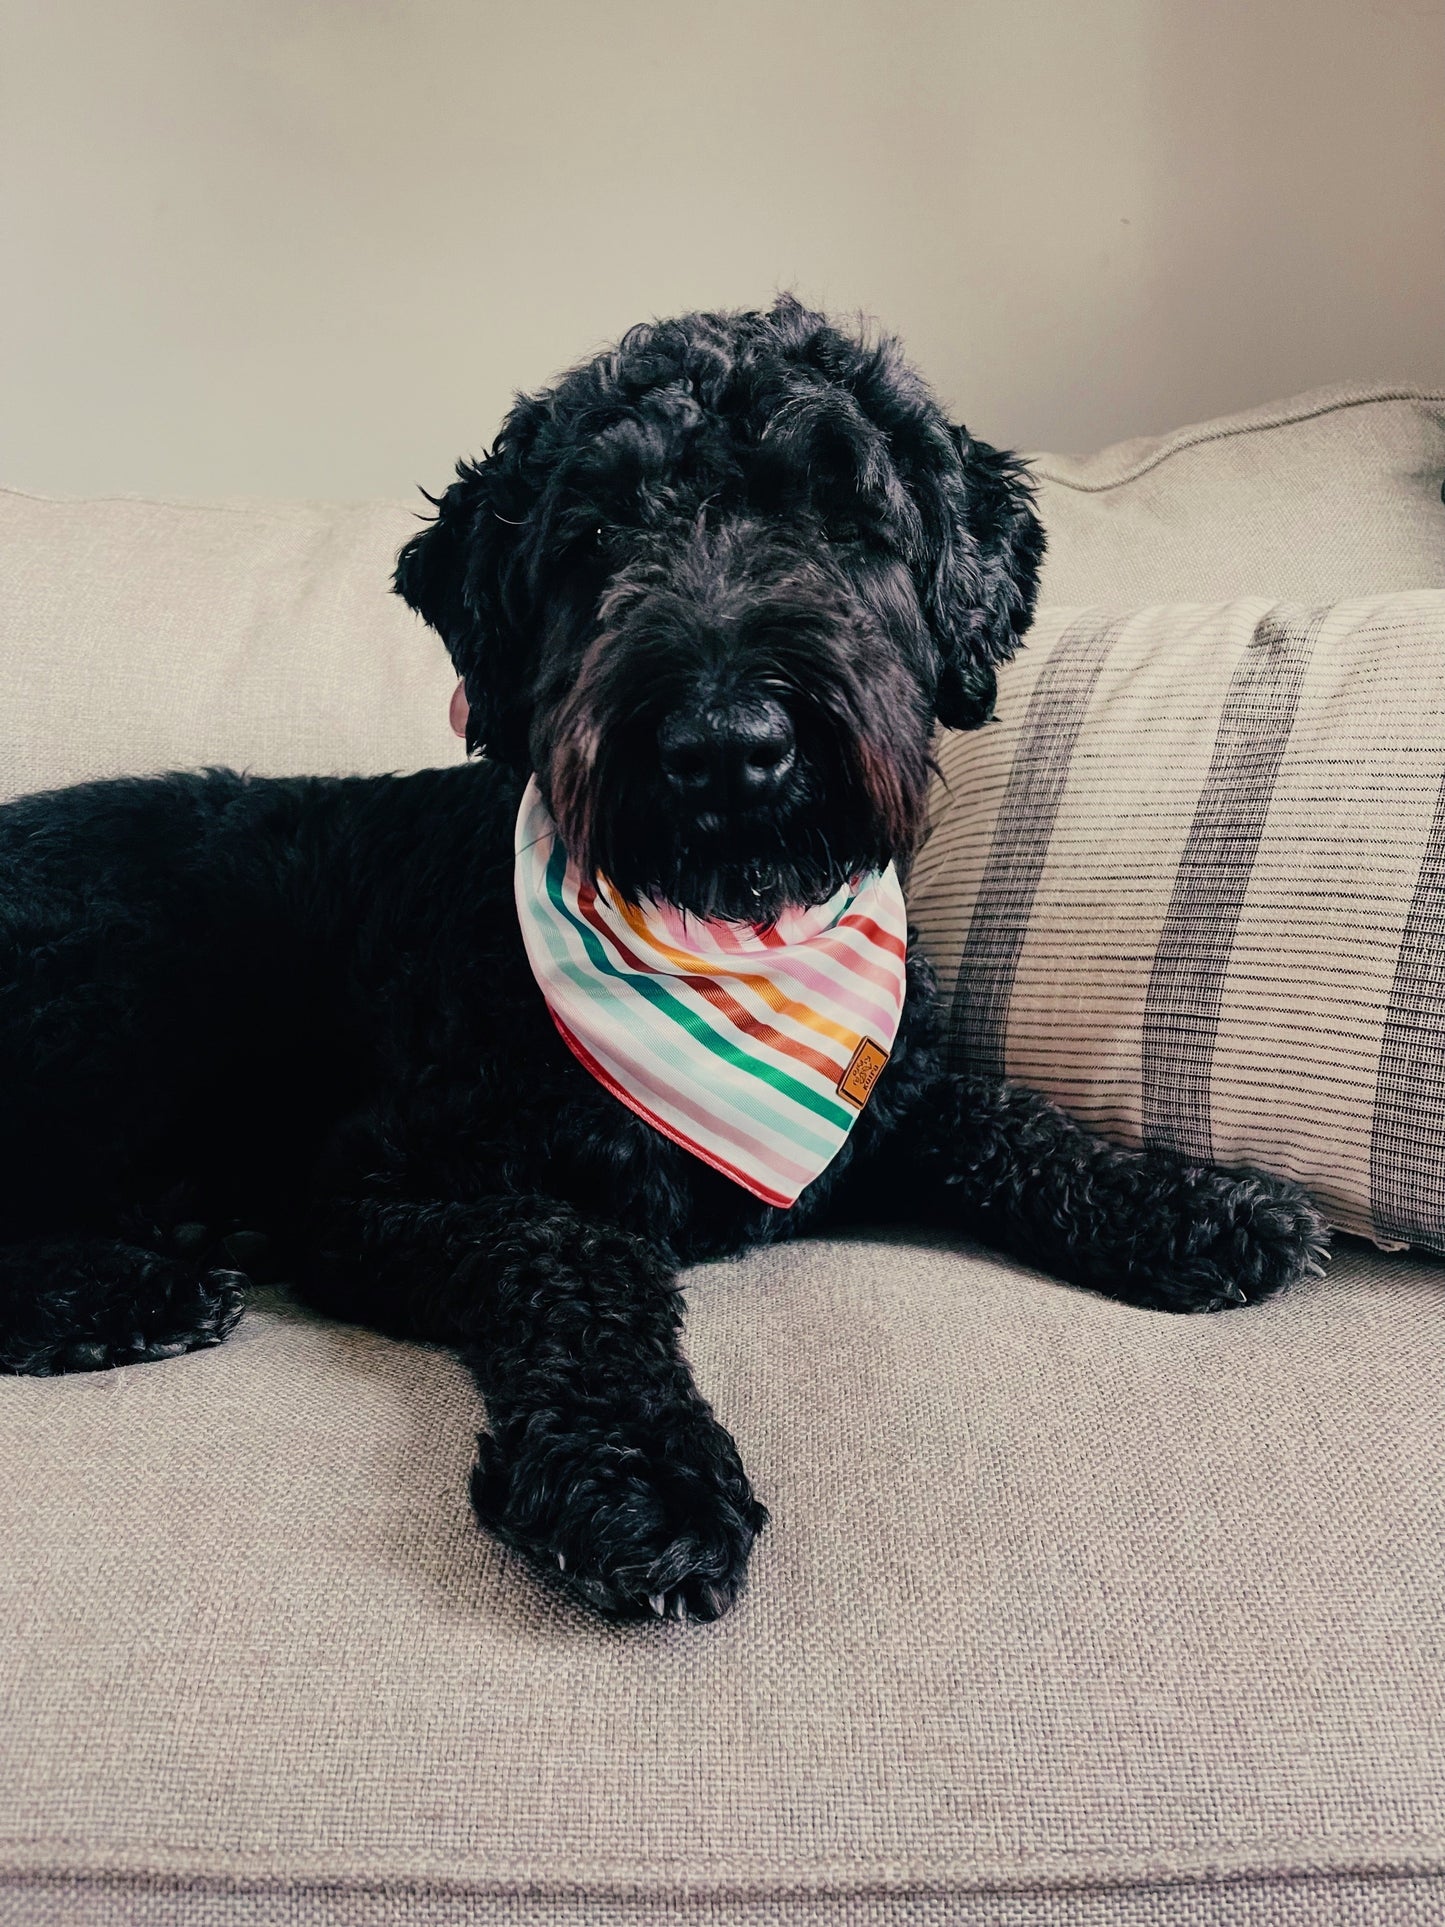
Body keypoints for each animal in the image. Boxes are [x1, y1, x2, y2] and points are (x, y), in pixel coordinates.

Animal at [0, 300, 1333, 1618]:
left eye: (843, 519)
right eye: (592, 536)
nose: (727, 743)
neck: (725, 939)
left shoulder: (878, 1110)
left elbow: (1004, 1119)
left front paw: (1188, 1203)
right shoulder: (374, 1191)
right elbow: (578, 1250)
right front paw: (641, 1475)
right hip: (124, 999)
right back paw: (131, 1290)